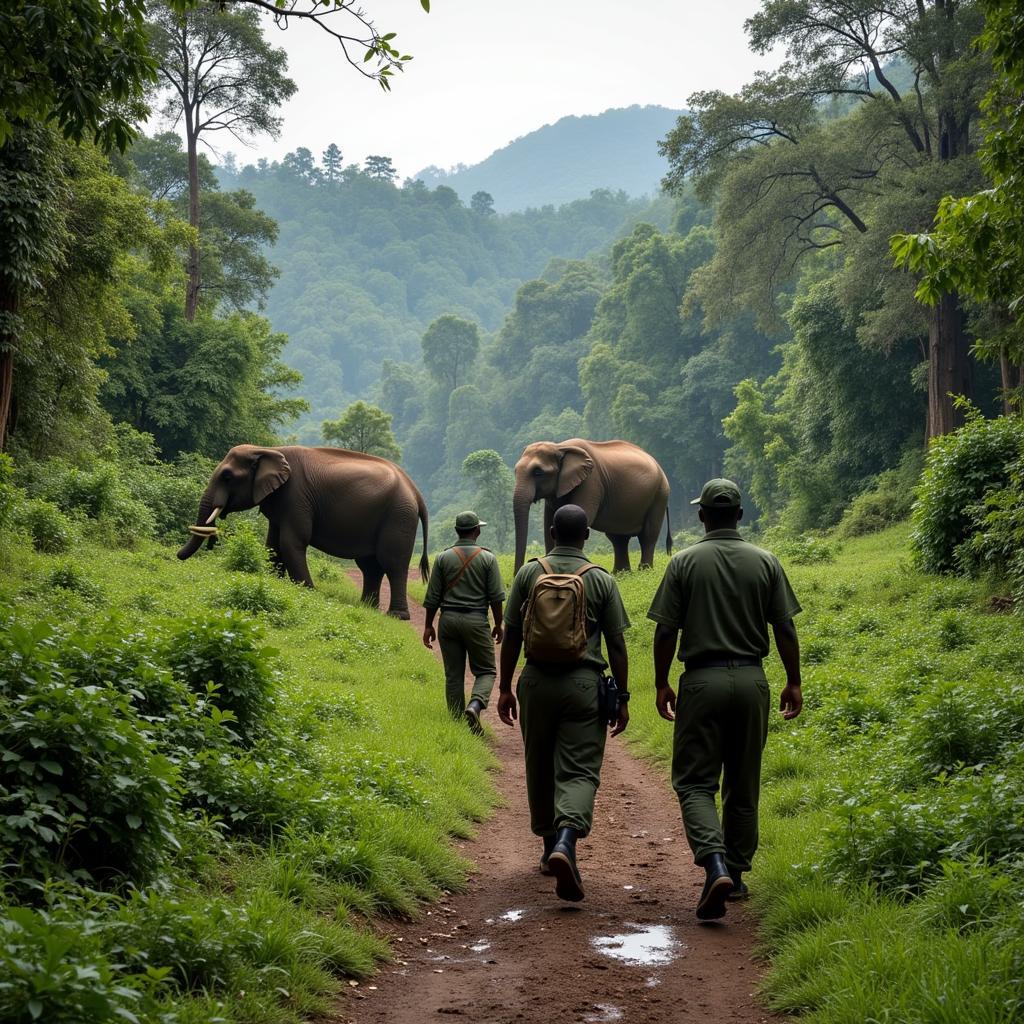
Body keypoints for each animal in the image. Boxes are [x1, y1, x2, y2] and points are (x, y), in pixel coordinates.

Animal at [176, 442, 428, 614]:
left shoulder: (296, 497)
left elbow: (291, 542)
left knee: (393, 563)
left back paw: (396, 615)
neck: (268, 450)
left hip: (398, 516)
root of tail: (416, 492)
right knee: (370, 566)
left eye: (227, 476)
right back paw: (368, 607)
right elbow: (273, 546)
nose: (177, 557)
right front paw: (276, 584)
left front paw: (308, 591)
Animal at [512, 436, 671, 573]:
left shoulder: (591, 482)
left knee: (648, 534)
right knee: (618, 538)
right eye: (515, 471)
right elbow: (549, 524)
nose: (515, 576)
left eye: (538, 472)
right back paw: (621, 573)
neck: (560, 447)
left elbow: (580, 518)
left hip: (660, 494)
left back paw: (644, 571)